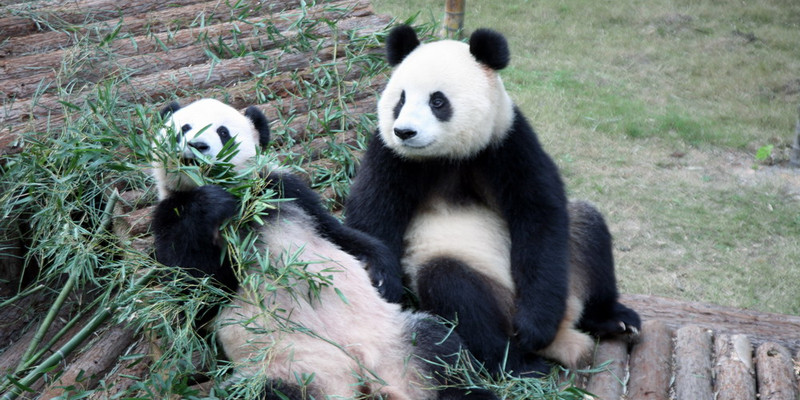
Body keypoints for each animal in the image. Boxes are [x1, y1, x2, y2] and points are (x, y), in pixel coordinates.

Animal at [148, 97, 496, 400]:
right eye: (183, 128)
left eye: (222, 132)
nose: (197, 146)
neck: (241, 196)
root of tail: (359, 371)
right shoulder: (170, 215)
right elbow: (196, 290)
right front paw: (212, 203)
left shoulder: (283, 190)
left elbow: (338, 232)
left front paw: (383, 278)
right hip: (290, 369)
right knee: (267, 392)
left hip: (395, 340)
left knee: (439, 353)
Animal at [346, 25, 644, 376]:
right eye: (400, 99)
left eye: (437, 101)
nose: (405, 132)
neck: (447, 156)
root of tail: (563, 334)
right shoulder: (391, 155)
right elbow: (372, 214)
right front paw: (381, 280)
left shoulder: (507, 142)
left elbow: (539, 217)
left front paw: (535, 325)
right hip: (486, 292)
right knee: (456, 290)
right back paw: (518, 363)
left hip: (569, 275)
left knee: (587, 224)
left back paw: (612, 320)